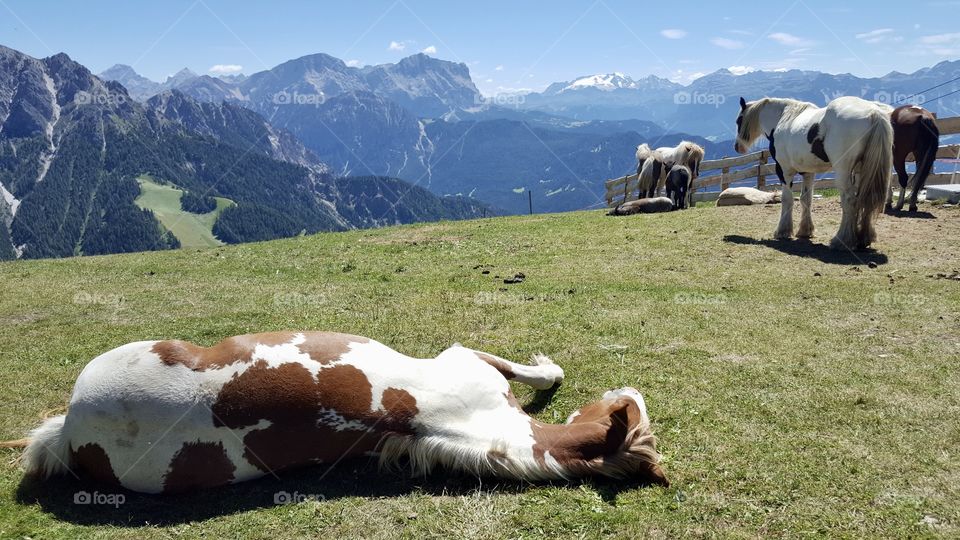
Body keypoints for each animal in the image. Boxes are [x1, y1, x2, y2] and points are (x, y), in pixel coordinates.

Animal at [735, 96, 893, 250]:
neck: (783, 118)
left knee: (850, 201)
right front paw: (805, 231)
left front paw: (783, 231)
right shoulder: (808, 172)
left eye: (738, 120)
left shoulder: (784, 170)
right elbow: (806, 199)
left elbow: (787, 199)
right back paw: (864, 238)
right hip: (862, 171)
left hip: (844, 171)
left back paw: (842, 240)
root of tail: (873, 113)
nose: (737, 147)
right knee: (865, 199)